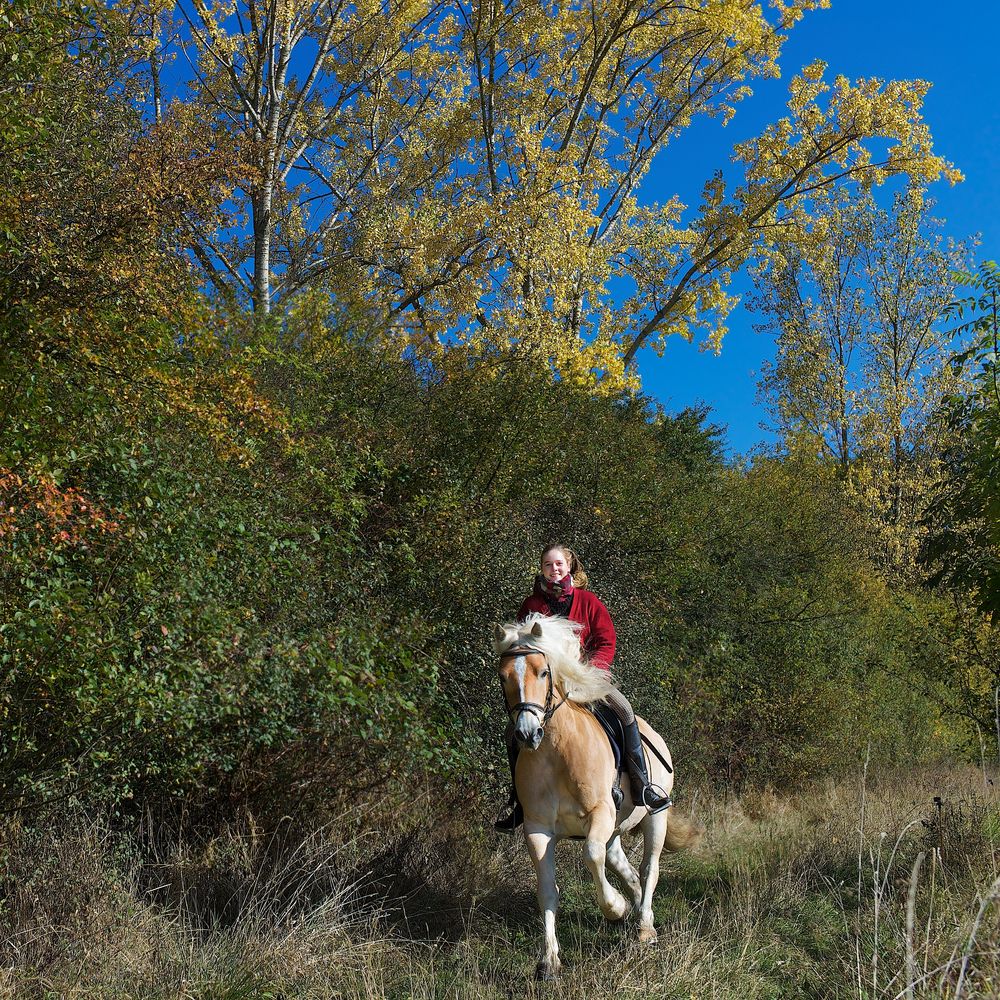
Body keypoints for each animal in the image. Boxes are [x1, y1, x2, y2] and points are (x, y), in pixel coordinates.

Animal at [490, 612, 696, 980]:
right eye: (503, 677)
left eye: (543, 672)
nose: (528, 734)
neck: (555, 751)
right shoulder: (538, 829)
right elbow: (547, 890)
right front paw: (549, 961)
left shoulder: (599, 813)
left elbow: (590, 855)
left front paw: (615, 908)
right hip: (615, 829)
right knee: (622, 865)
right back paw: (636, 907)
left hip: (655, 817)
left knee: (648, 867)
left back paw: (644, 926)